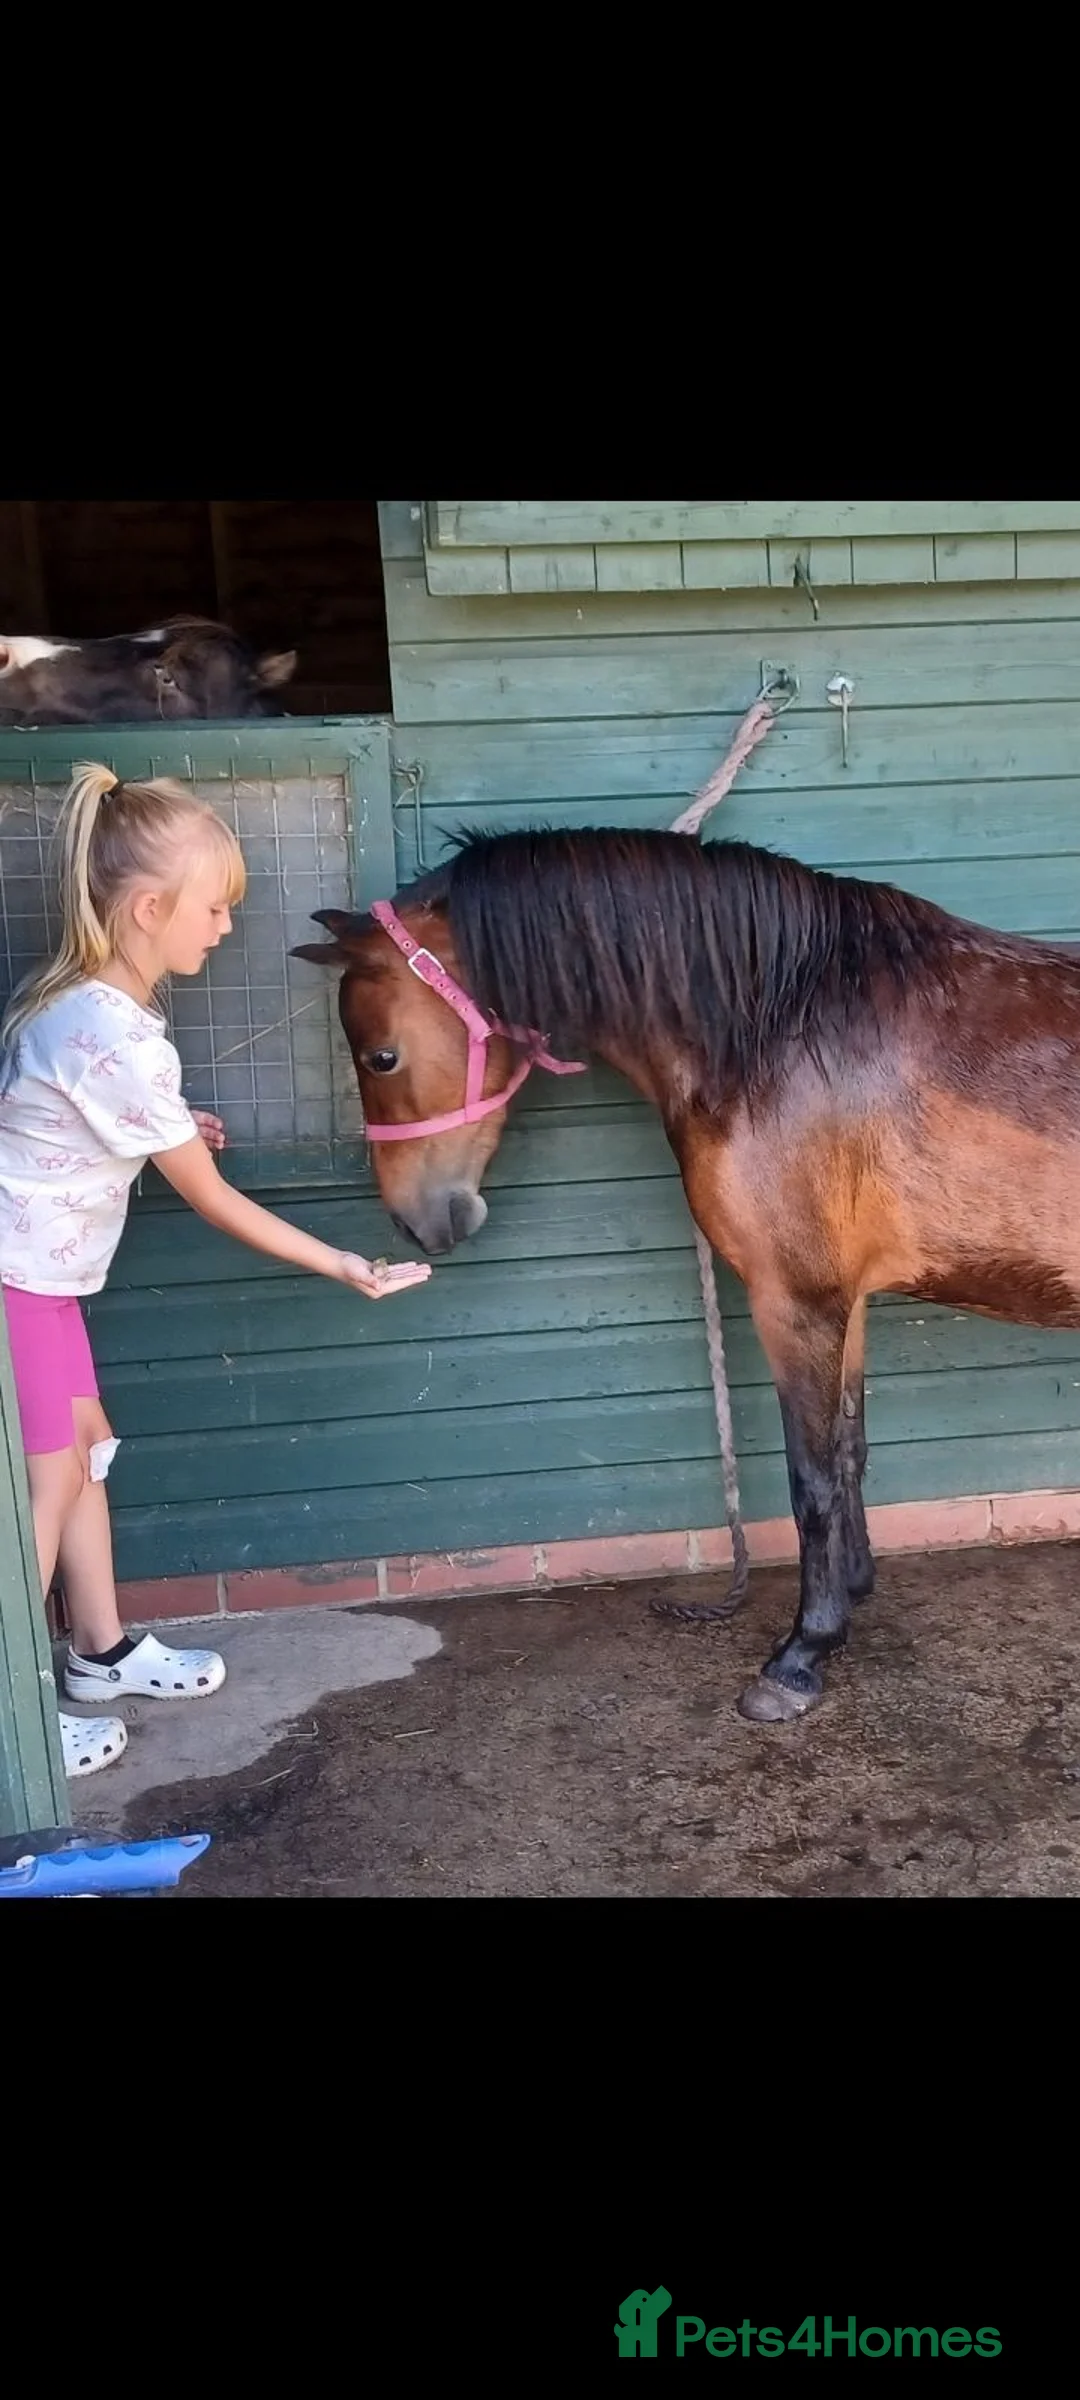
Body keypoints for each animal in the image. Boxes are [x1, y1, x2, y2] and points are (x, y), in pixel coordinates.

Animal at [292, 825, 1080, 1725]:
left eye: (381, 1056)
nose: (413, 1220)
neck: (786, 1027)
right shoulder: (842, 1302)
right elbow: (848, 1450)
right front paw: (850, 1592)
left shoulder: (793, 1302)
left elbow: (811, 1478)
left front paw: (801, 1654)